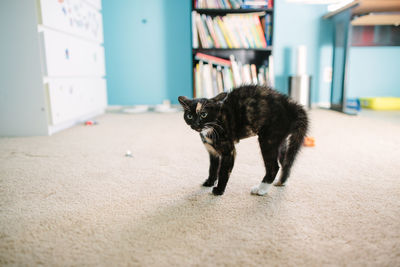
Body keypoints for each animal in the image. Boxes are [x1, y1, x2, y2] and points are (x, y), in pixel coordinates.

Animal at [179, 85, 310, 197]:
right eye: (189, 116)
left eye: (204, 114)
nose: (196, 124)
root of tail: (291, 104)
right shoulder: (212, 151)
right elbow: (213, 168)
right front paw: (209, 182)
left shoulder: (229, 151)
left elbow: (223, 171)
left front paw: (219, 190)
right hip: (280, 141)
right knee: (286, 161)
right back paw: (281, 181)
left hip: (268, 139)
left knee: (274, 166)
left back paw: (261, 189)